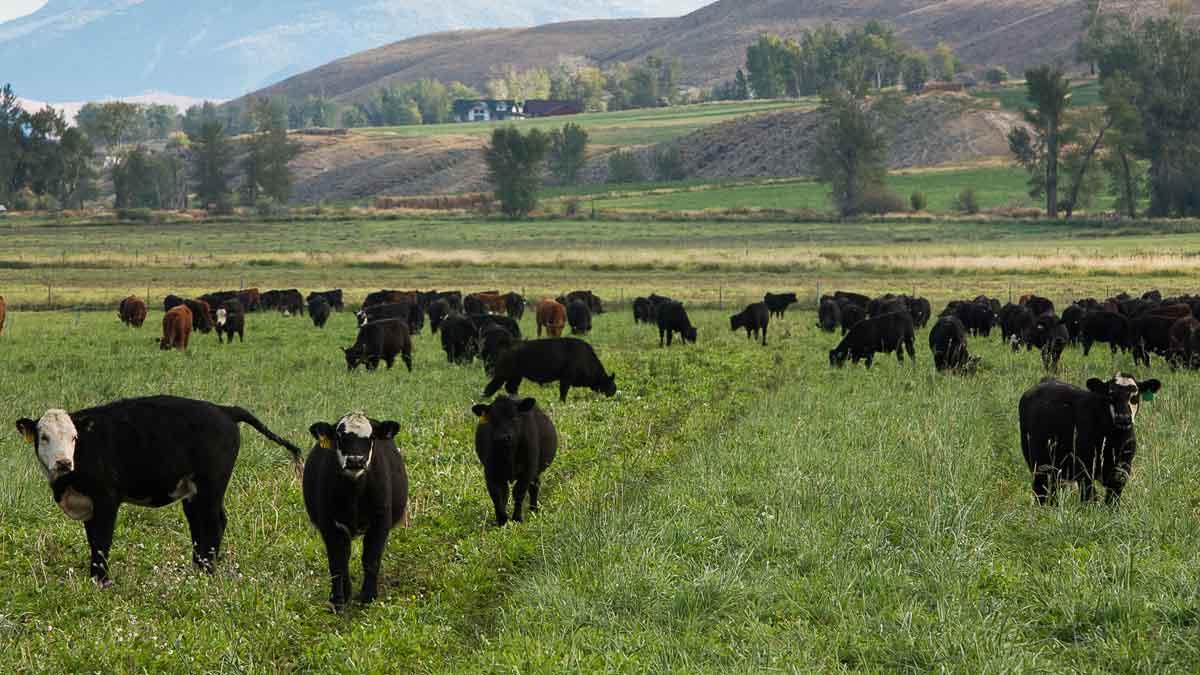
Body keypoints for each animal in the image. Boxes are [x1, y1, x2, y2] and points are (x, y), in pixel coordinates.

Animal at [14, 393, 302, 583]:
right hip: (194, 492)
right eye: (43, 437)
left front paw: (101, 580)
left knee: (215, 523)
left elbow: (102, 540)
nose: (63, 462)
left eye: (74, 437)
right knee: (200, 525)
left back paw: (208, 571)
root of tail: (224, 409)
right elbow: (93, 539)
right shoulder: (89, 505)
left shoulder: (107, 500)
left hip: (212, 486)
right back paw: (198, 569)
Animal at [304, 413, 408, 607]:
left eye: (371, 437)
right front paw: (336, 600)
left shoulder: (380, 521)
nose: (355, 460)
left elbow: (371, 559)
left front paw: (368, 596)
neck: (355, 493)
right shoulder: (329, 525)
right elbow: (337, 562)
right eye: (339, 437)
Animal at [472, 393, 556, 526]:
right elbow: (498, 495)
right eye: (492, 420)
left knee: (534, 486)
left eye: (515, 418)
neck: (509, 455)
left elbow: (519, 493)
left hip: (535, 469)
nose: (502, 437)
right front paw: (502, 520)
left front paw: (517, 518)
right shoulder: (491, 472)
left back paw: (534, 509)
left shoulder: (528, 470)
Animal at [482, 333, 619, 398]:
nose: (613, 391)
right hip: (503, 376)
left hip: (516, 376)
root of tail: (508, 343)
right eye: (610, 384)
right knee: (492, 387)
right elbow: (563, 392)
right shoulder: (566, 380)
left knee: (510, 388)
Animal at [1022, 372, 1161, 504]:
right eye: (1111, 395)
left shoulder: (1122, 470)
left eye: (1134, 396)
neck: (1113, 440)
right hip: (1038, 464)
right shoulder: (1084, 468)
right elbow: (1090, 498)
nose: (1123, 418)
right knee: (1041, 491)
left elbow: (1112, 501)